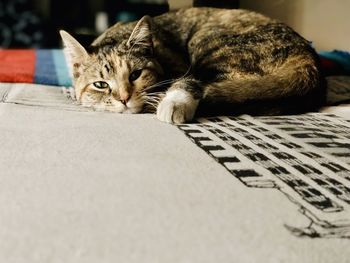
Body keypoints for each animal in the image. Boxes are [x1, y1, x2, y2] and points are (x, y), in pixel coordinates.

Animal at [59, 6, 326, 125]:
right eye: (100, 84)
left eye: (136, 74)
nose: (124, 98)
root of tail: (307, 56)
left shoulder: (180, 66)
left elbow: (187, 79)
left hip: (211, 41)